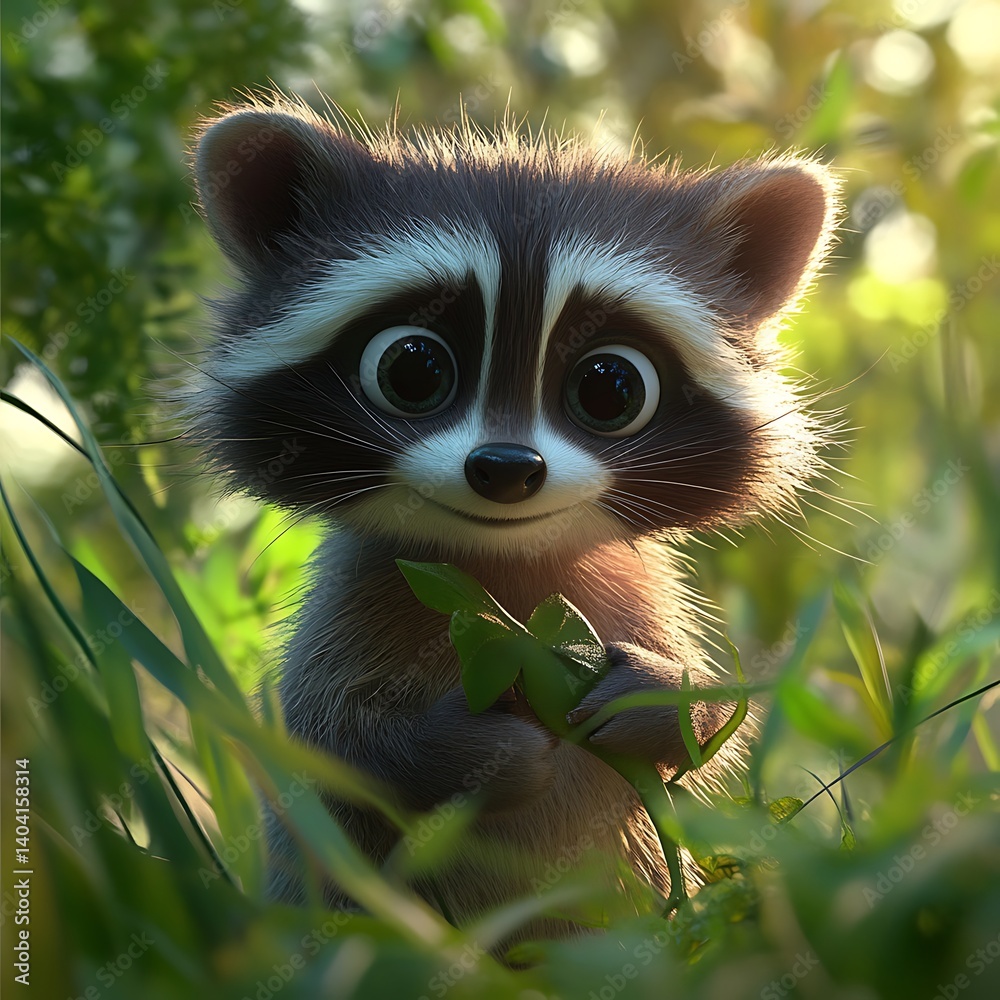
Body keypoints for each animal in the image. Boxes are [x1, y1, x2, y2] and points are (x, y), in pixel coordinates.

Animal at [186, 95, 839, 932]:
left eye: (610, 387)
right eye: (412, 370)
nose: (505, 469)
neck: (506, 561)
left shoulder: (632, 595)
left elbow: (720, 733)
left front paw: (673, 696)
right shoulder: (356, 601)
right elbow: (331, 744)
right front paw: (460, 751)